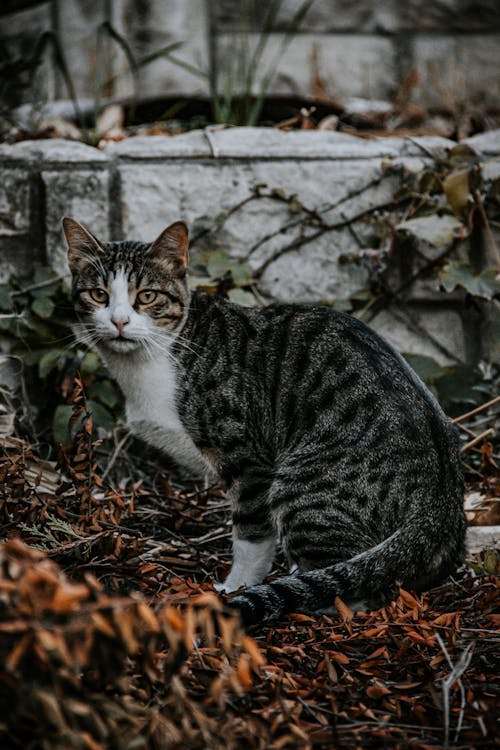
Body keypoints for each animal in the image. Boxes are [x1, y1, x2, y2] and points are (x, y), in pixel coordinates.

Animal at [63, 216, 468, 628]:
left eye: (146, 296)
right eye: (98, 295)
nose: (118, 321)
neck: (153, 359)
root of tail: (440, 506)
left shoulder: (247, 458)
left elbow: (251, 535)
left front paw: (235, 587)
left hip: (302, 487)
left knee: (363, 584)